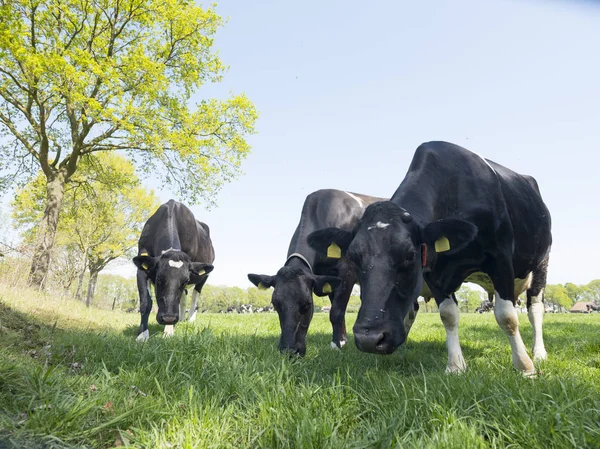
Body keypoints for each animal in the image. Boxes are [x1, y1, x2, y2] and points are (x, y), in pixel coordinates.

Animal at [133, 200, 216, 340]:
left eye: (185, 281)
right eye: (158, 279)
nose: (169, 318)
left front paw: (168, 332)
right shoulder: (142, 268)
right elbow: (145, 303)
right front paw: (142, 335)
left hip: (204, 276)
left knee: (195, 296)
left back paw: (190, 320)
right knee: (184, 299)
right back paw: (181, 319)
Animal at [247, 188, 384, 354]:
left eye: (307, 304)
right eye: (275, 304)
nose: (289, 350)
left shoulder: (347, 271)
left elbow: (336, 312)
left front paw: (336, 345)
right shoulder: (329, 278)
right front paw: (342, 340)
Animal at [310, 143, 552, 374]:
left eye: (410, 255)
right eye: (352, 257)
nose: (369, 339)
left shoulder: (500, 258)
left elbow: (507, 316)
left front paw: (524, 366)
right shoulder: (436, 273)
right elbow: (448, 315)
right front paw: (455, 366)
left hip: (541, 263)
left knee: (535, 308)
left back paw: (539, 352)